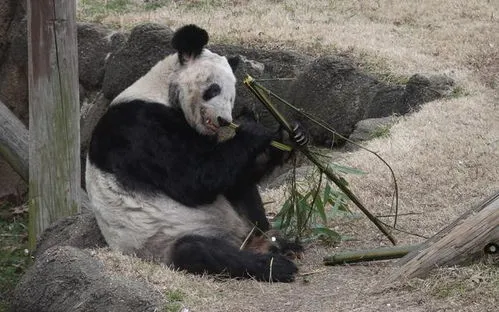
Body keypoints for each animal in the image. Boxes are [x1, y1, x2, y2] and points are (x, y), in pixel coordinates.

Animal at [85, 24, 304, 282]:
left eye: (232, 95)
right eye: (213, 89)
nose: (224, 121)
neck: (161, 91)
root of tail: (241, 240)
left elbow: (228, 171)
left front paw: (289, 135)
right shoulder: (139, 130)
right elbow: (194, 180)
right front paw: (252, 127)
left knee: (242, 190)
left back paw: (279, 243)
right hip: (162, 241)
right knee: (198, 250)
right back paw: (274, 264)